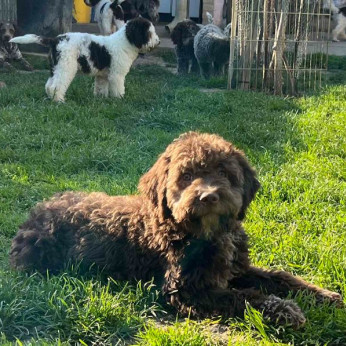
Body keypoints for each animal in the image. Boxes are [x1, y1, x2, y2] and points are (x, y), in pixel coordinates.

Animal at [9, 132, 342, 328]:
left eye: (224, 172)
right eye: (187, 175)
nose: (208, 197)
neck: (205, 235)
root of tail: (34, 215)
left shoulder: (238, 268)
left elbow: (280, 277)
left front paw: (322, 294)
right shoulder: (188, 290)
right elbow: (245, 297)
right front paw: (285, 310)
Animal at [10, 17, 160, 101]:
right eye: (149, 33)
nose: (158, 42)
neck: (126, 41)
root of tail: (55, 40)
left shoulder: (102, 76)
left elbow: (100, 88)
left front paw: (100, 99)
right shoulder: (117, 74)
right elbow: (118, 88)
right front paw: (120, 99)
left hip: (55, 67)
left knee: (49, 85)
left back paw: (50, 98)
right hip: (65, 67)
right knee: (56, 86)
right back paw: (59, 101)